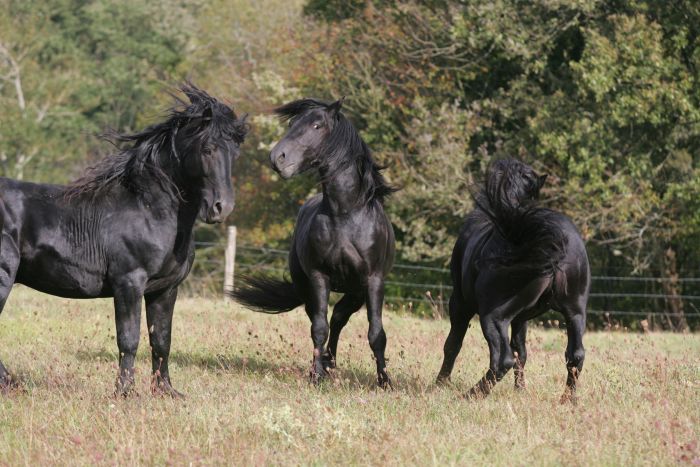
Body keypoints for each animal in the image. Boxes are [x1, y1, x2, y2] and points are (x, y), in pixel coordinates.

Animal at [0, 84, 249, 398]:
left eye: (235, 153)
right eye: (208, 149)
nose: (221, 208)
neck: (147, 209)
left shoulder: (165, 290)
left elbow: (162, 341)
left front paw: (165, 391)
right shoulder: (129, 283)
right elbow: (129, 339)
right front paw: (125, 392)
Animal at [232, 98, 396, 388]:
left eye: (317, 125)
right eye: (292, 123)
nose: (277, 158)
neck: (345, 214)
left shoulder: (373, 280)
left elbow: (376, 332)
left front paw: (384, 381)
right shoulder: (320, 277)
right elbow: (319, 328)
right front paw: (316, 376)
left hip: (356, 291)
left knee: (340, 317)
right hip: (309, 286)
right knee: (324, 319)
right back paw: (325, 365)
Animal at [438, 159, 592, 404]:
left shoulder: (460, 304)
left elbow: (453, 343)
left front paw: (440, 383)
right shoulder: (521, 318)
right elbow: (522, 351)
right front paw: (520, 390)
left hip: (492, 317)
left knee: (502, 359)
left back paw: (471, 394)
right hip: (575, 314)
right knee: (575, 355)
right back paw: (567, 399)